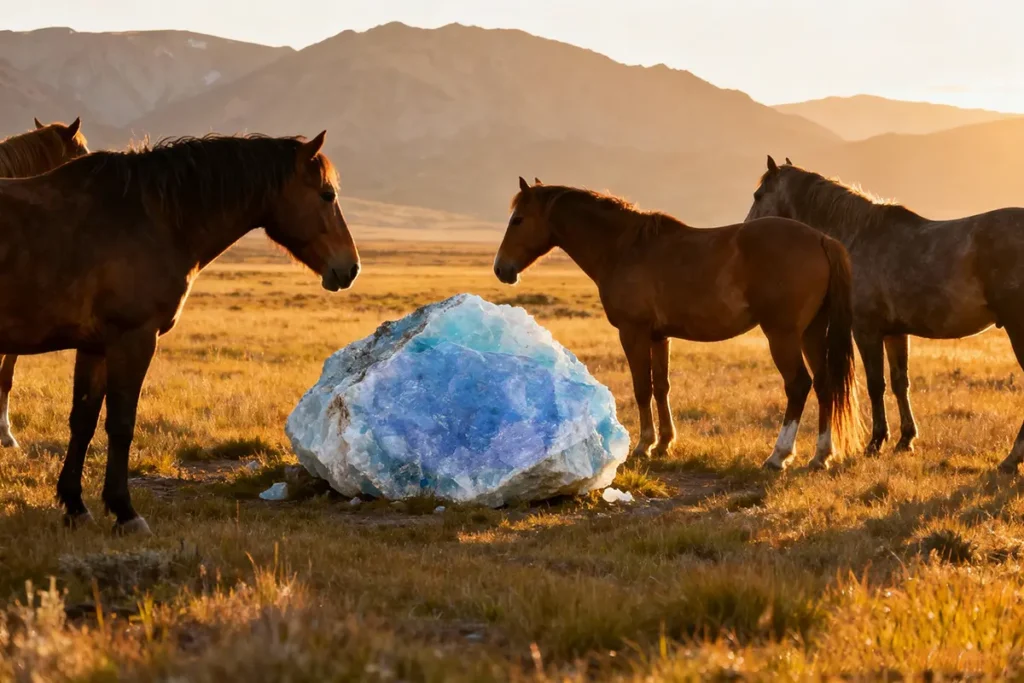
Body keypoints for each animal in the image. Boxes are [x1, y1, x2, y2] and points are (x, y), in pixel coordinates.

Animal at [494, 177, 860, 470]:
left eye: (518, 219)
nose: (501, 269)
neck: (623, 248)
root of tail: (821, 239)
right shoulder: (660, 337)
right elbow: (661, 386)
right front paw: (664, 443)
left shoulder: (633, 332)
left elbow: (641, 387)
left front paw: (643, 445)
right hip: (811, 333)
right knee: (824, 384)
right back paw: (821, 455)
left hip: (782, 335)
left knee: (798, 385)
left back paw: (778, 455)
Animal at [745, 156, 1024, 473]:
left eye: (758, 195)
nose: (745, 232)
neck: (858, 238)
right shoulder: (895, 333)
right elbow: (901, 383)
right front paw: (905, 440)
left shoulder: (866, 331)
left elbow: (875, 384)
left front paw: (876, 442)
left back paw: (1012, 458)